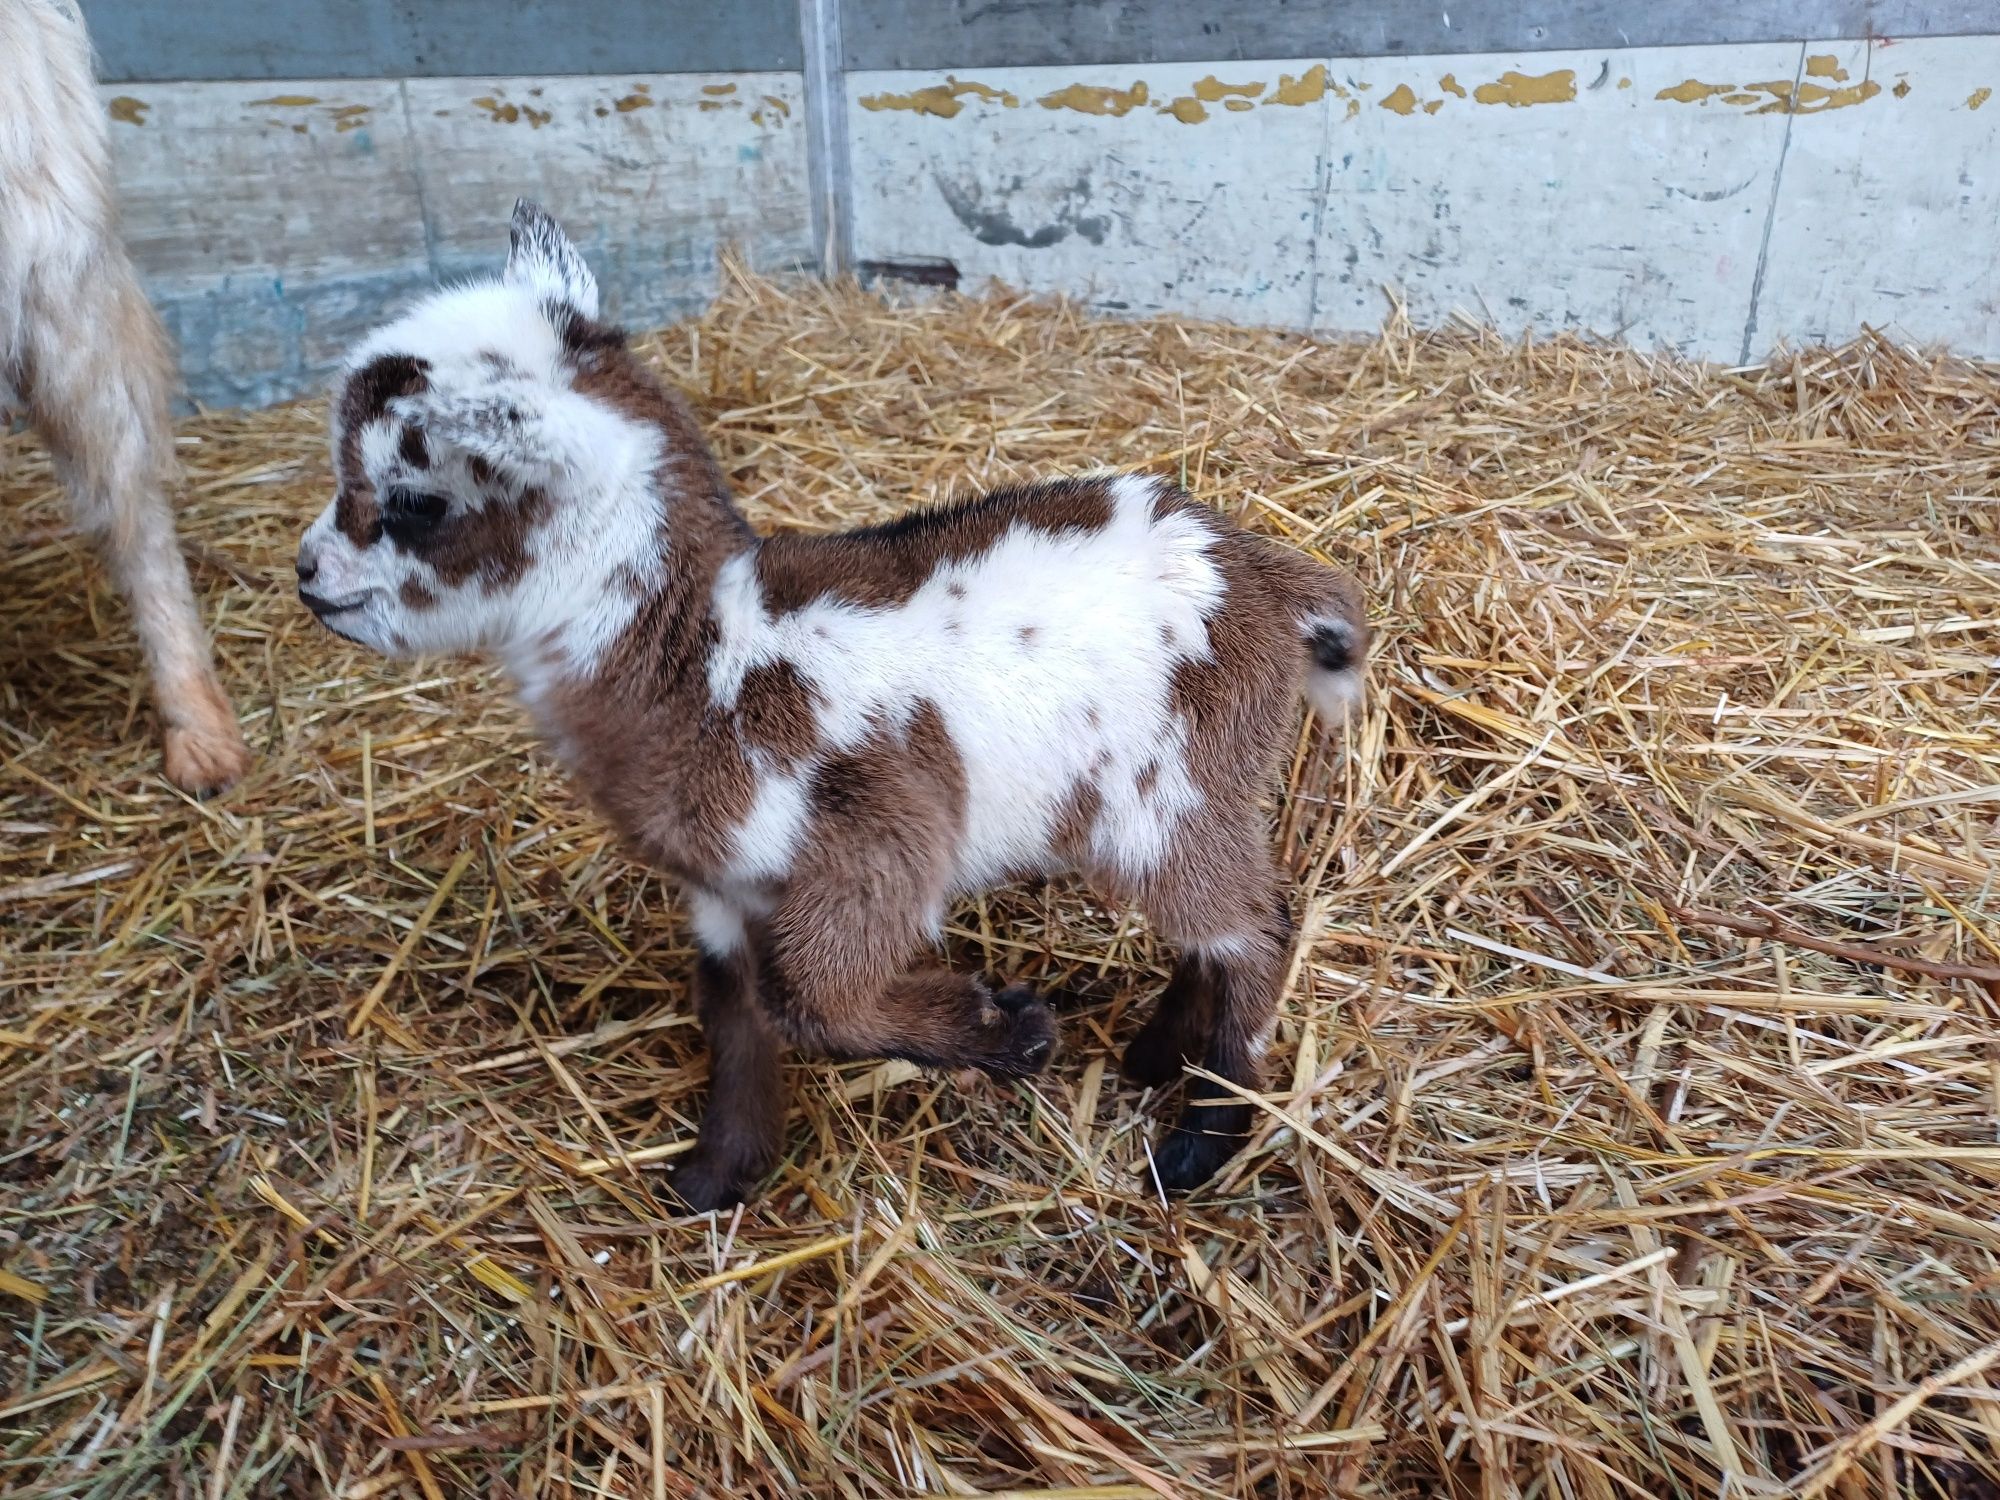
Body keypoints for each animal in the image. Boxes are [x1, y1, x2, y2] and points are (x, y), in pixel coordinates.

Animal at [296, 203, 1368, 1208]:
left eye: (415, 500)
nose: (308, 573)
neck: (710, 659)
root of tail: (1264, 575)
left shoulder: (879, 838)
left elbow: (811, 997)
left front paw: (1009, 1030)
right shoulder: (727, 893)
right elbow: (739, 1017)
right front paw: (713, 1180)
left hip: (1174, 786)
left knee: (1252, 928)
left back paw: (1199, 1140)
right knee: (1223, 924)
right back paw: (1155, 1057)